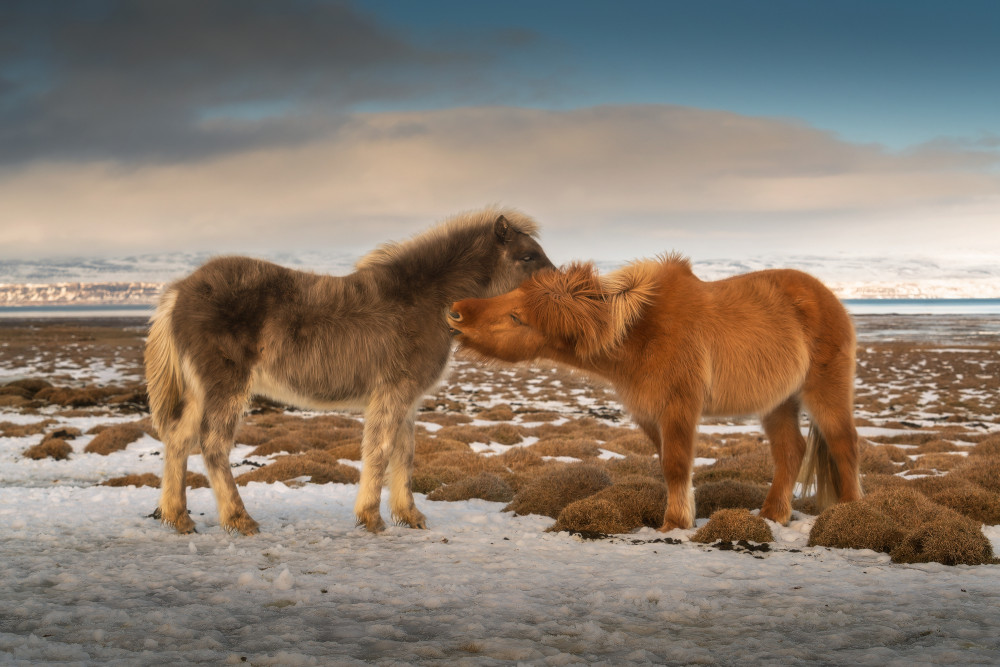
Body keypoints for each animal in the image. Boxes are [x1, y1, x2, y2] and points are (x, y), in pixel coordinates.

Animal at [145, 207, 554, 535]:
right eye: (528, 256)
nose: (558, 292)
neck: (424, 301)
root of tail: (179, 291)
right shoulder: (392, 393)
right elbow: (380, 449)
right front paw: (372, 519)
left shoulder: (407, 399)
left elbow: (404, 453)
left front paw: (409, 516)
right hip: (225, 386)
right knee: (213, 444)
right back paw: (239, 520)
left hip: (199, 390)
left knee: (178, 439)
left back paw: (178, 519)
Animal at [448, 256, 862, 530]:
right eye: (512, 293)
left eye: (517, 317)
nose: (455, 312)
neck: (640, 331)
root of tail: (828, 297)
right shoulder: (648, 414)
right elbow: (668, 464)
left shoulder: (679, 408)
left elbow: (676, 464)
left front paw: (674, 524)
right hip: (778, 402)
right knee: (790, 451)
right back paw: (772, 516)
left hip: (824, 392)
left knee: (843, 444)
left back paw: (848, 512)